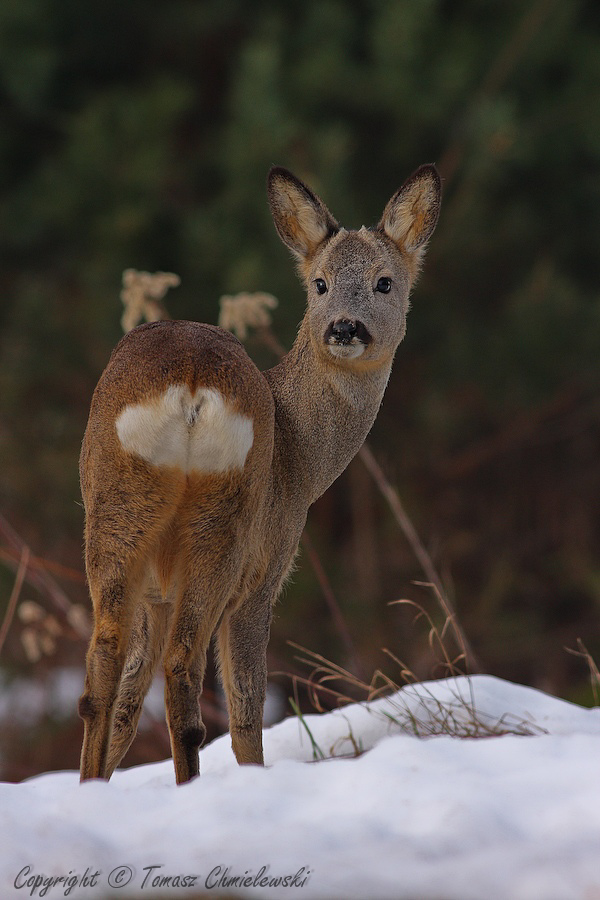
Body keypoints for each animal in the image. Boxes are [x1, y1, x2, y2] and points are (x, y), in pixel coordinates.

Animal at [78, 162, 440, 780]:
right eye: (319, 284)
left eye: (384, 282)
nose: (345, 328)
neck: (303, 461)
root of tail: (191, 386)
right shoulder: (266, 570)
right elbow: (247, 711)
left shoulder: (155, 593)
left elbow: (127, 704)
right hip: (227, 528)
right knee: (187, 670)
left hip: (120, 507)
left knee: (103, 668)